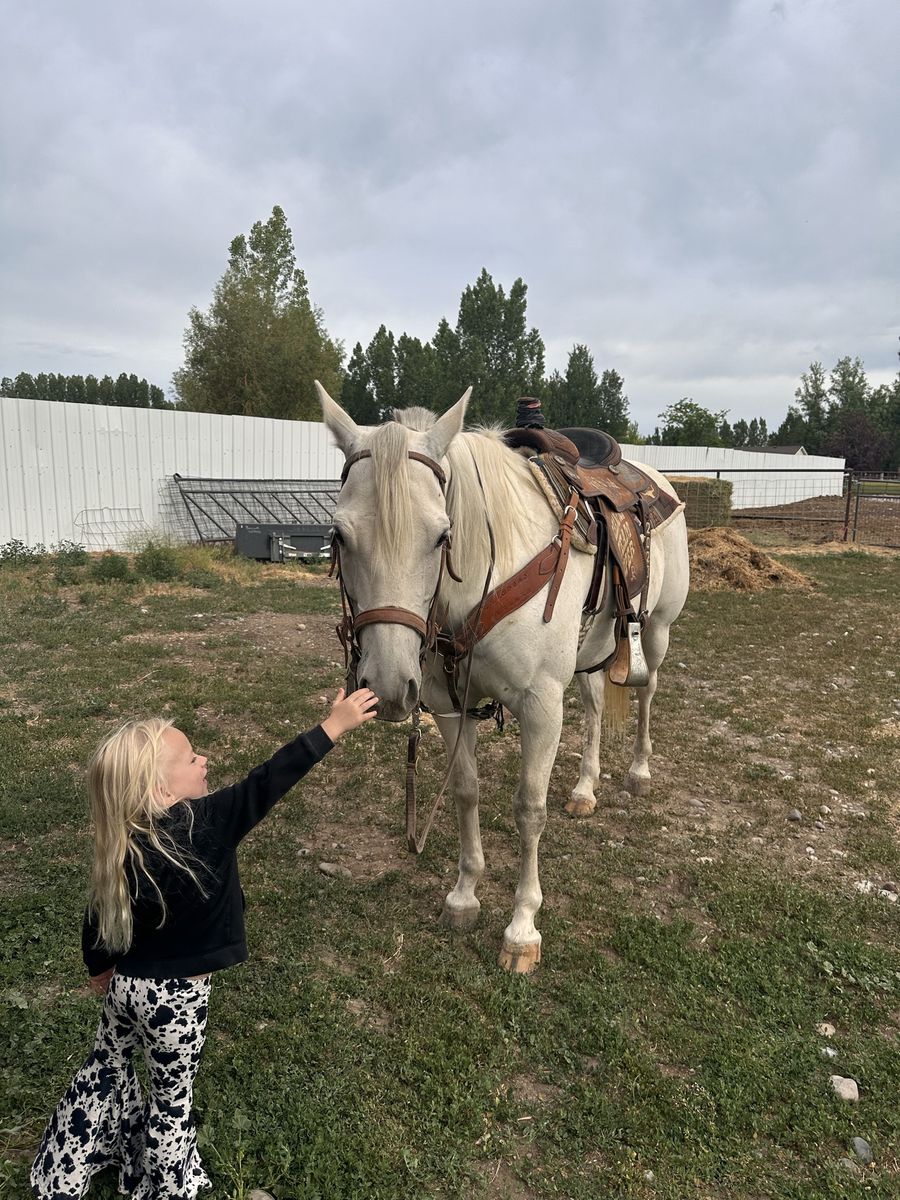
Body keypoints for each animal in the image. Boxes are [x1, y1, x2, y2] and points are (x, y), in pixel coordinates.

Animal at [316, 383, 690, 972]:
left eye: (442, 536)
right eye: (339, 535)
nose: (388, 685)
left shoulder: (539, 706)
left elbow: (529, 809)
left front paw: (521, 929)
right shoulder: (450, 704)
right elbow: (465, 790)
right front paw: (464, 895)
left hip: (655, 632)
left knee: (647, 690)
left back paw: (638, 772)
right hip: (588, 654)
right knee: (593, 707)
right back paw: (585, 788)